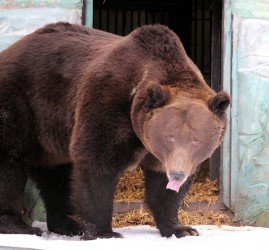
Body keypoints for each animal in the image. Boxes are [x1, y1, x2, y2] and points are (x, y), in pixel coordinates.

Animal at [0, 22, 230, 239]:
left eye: (196, 140)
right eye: (170, 137)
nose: (177, 173)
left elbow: (163, 189)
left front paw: (181, 228)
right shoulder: (109, 100)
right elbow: (97, 160)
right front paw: (104, 232)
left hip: (52, 129)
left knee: (57, 174)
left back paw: (68, 224)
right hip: (21, 101)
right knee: (11, 162)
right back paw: (19, 226)